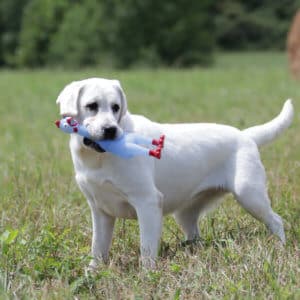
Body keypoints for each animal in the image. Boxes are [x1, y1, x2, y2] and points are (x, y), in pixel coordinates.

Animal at [55, 77, 292, 268]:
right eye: (92, 106)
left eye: (115, 107)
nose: (111, 130)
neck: (98, 158)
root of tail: (246, 135)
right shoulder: (100, 210)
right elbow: (97, 249)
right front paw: (92, 273)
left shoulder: (148, 202)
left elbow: (147, 249)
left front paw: (147, 277)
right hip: (186, 213)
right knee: (195, 235)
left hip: (249, 194)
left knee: (276, 221)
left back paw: (281, 248)